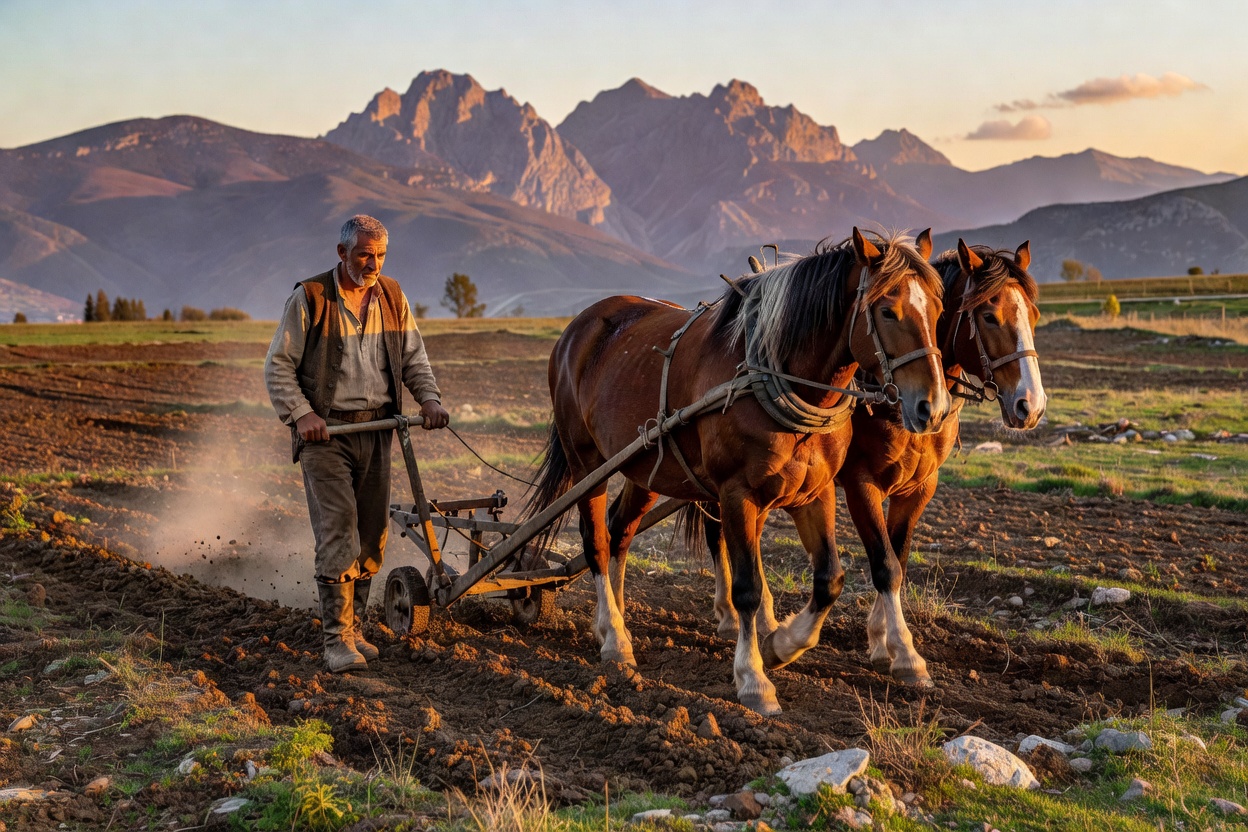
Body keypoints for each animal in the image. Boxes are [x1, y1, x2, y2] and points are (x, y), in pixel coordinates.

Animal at [529, 228, 950, 715]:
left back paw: (612, 621)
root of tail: (577, 328)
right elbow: (746, 586)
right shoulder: (737, 493)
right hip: (587, 464)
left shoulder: (816, 491)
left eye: (939, 310)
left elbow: (830, 578)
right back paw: (615, 639)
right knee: (597, 541)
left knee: (620, 530)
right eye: (887, 310)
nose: (933, 407)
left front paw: (781, 644)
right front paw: (754, 679)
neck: (773, 374)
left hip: (645, 465)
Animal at [697, 239, 1044, 687]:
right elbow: (884, 565)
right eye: (989, 315)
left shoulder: (919, 488)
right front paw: (906, 654)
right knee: (716, 531)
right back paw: (729, 614)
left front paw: (881, 641)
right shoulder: (861, 484)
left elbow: (899, 557)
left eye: (1033, 315)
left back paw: (767, 620)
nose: (1031, 405)